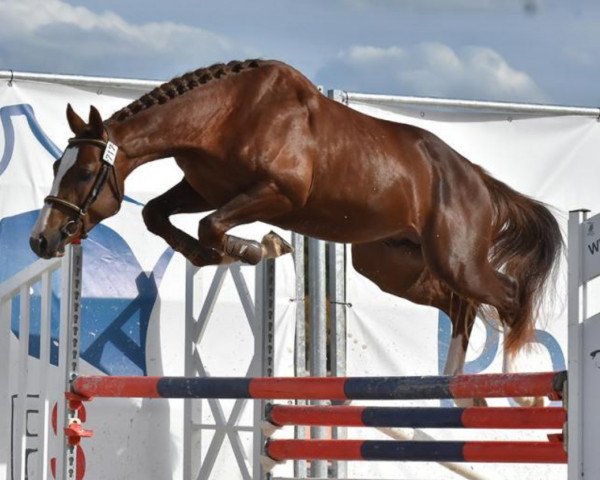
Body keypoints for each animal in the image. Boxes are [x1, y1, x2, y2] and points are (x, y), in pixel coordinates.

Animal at [29, 58, 564, 400]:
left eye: (82, 173)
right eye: (56, 165)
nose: (42, 239)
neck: (224, 115)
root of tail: (478, 179)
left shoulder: (276, 194)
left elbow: (210, 225)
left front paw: (257, 247)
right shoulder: (204, 188)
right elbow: (159, 216)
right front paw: (224, 253)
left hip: (456, 258)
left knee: (508, 296)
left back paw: (520, 387)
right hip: (392, 265)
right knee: (460, 305)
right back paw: (458, 387)